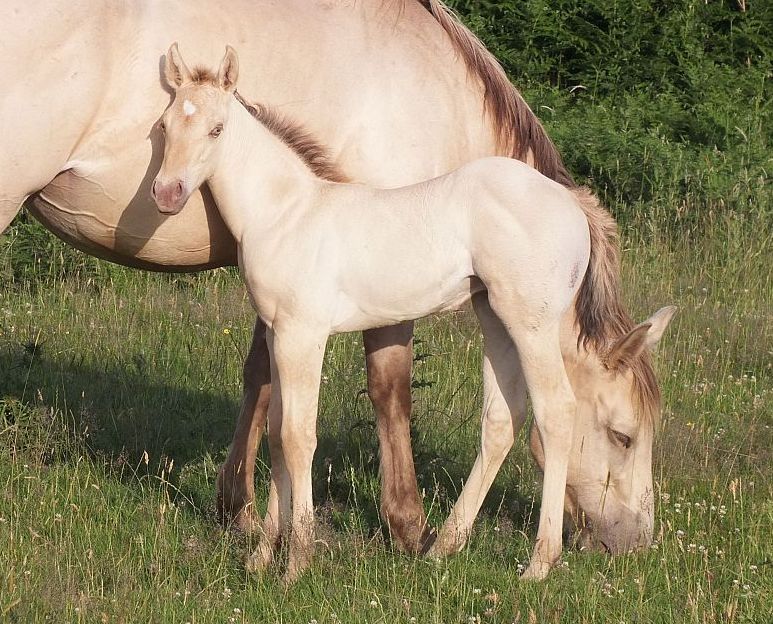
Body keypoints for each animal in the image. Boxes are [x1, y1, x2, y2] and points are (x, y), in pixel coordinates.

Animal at [152, 45, 675, 581]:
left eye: (216, 129)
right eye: (164, 126)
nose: (167, 193)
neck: (287, 211)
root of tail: (571, 203)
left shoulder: (304, 334)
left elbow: (298, 437)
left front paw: (297, 560)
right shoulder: (279, 334)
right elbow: (278, 431)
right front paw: (260, 557)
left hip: (532, 324)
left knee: (556, 413)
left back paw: (538, 562)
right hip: (496, 318)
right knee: (503, 416)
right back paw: (444, 545)